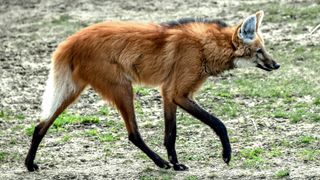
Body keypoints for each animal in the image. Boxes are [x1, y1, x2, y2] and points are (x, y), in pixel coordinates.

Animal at [25, 10, 280, 171]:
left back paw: (29, 164)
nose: (277, 65)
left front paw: (176, 164)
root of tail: (70, 40)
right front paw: (225, 155)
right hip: (122, 88)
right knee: (133, 134)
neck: (206, 47)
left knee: (40, 124)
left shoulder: (168, 93)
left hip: (74, 90)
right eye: (259, 51)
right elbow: (218, 123)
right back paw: (159, 163)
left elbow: (170, 134)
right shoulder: (178, 93)